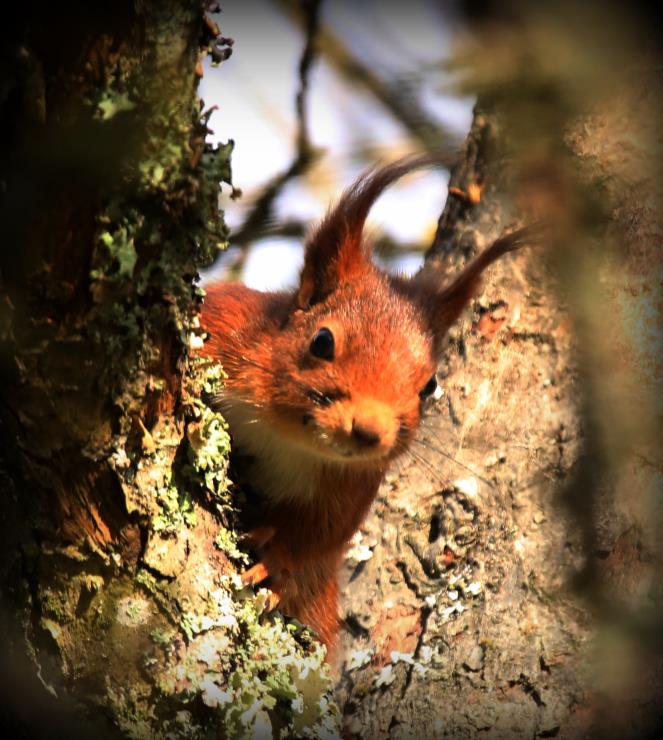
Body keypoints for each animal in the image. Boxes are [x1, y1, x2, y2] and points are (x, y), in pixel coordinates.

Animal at [200, 155, 532, 648]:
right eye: (322, 341)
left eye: (430, 386)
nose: (369, 431)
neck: (288, 438)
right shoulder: (225, 326)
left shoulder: (352, 488)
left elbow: (319, 536)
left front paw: (276, 559)